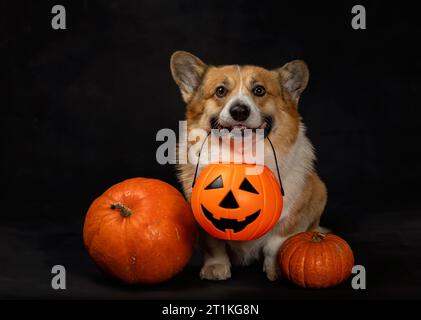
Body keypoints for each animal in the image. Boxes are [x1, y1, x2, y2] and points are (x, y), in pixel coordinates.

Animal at [169, 50, 326, 280]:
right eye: (221, 91)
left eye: (259, 90)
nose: (239, 111)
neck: (241, 156)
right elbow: (213, 244)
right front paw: (216, 267)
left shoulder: (295, 212)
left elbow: (276, 243)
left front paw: (276, 269)